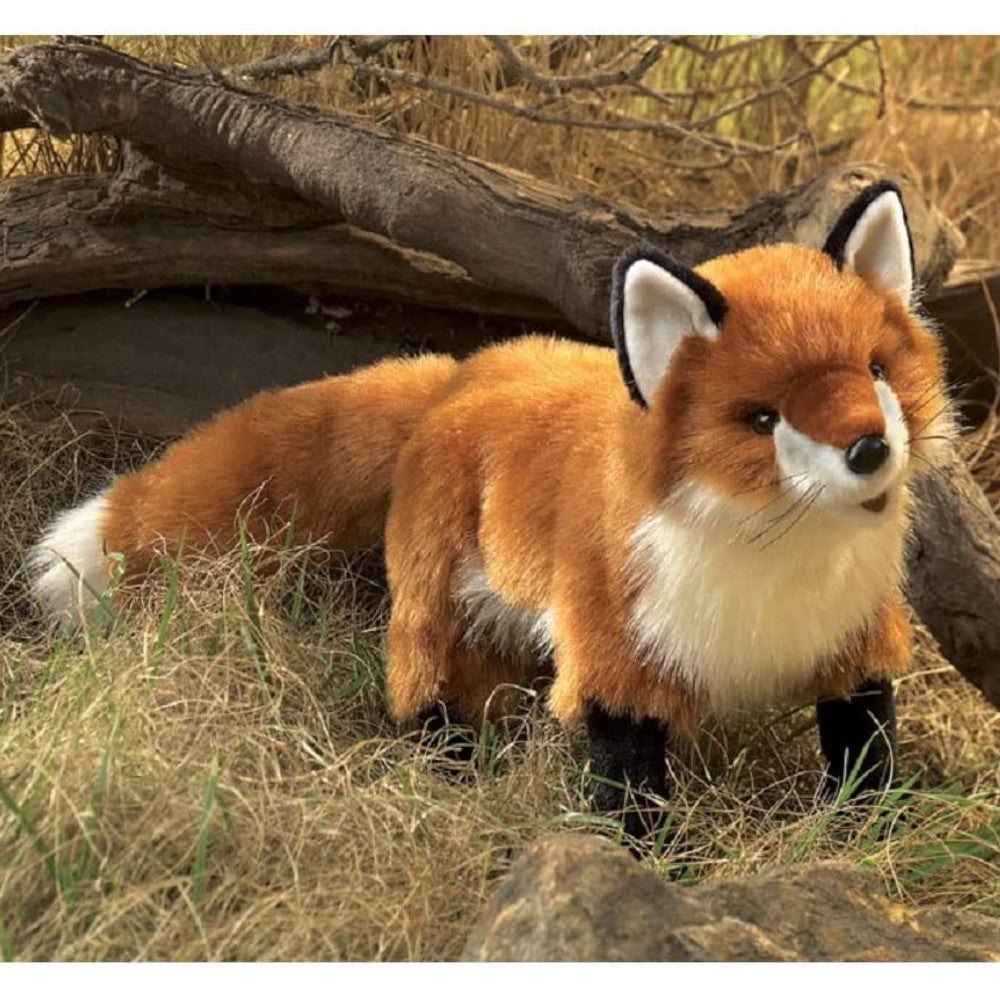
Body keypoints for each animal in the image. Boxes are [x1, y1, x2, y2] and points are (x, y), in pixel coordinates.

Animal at [29, 181, 951, 838]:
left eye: (876, 371)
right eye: (763, 419)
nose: (869, 450)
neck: (773, 577)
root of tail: (462, 370)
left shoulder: (855, 644)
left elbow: (865, 754)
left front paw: (872, 841)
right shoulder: (618, 657)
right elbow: (631, 789)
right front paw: (659, 869)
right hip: (441, 613)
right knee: (428, 697)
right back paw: (453, 774)